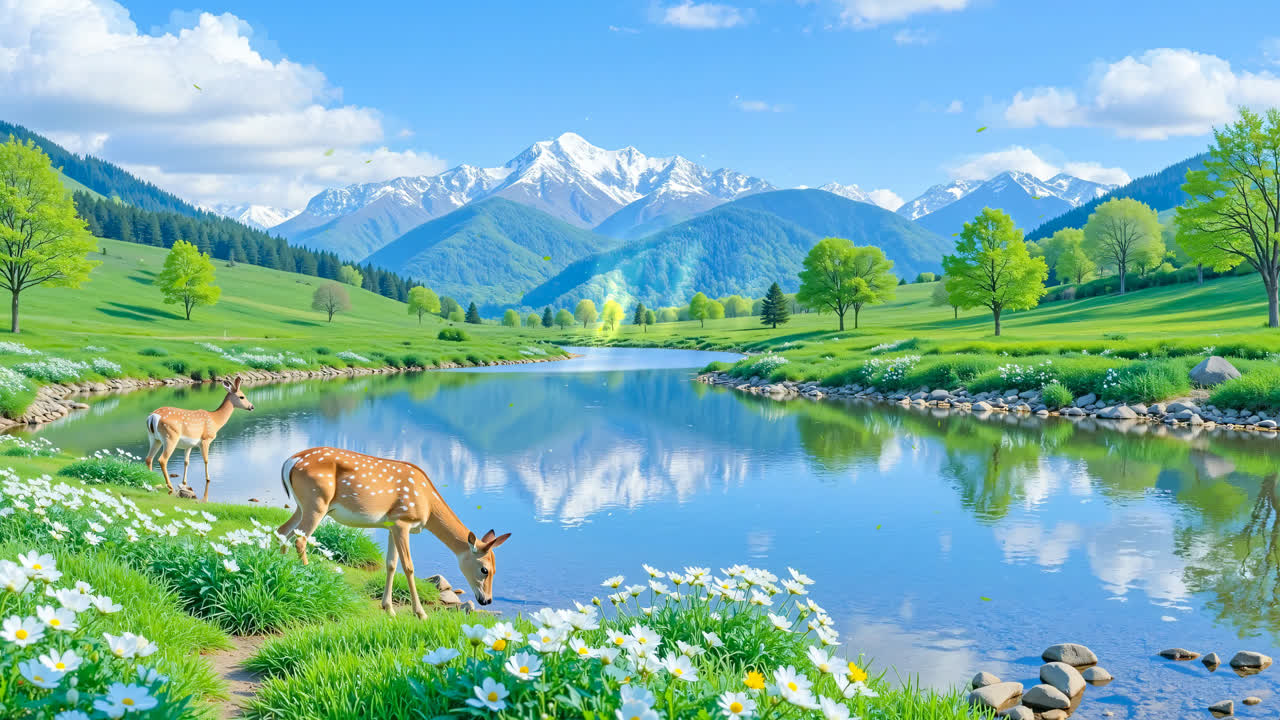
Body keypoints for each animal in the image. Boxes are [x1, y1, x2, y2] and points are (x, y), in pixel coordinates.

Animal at [278, 447, 511, 618]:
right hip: (317, 501)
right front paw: (420, 613)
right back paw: (307, 576)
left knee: (283, 531)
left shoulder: (390, 526)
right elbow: (408, 566)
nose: (487, 600)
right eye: (485, 570)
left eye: (496, 569)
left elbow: (391, 564)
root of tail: (289, 461)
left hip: (302, 505)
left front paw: (388, 609)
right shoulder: (402, 521)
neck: (428, 504)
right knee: (300, 539)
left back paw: (281, 569)